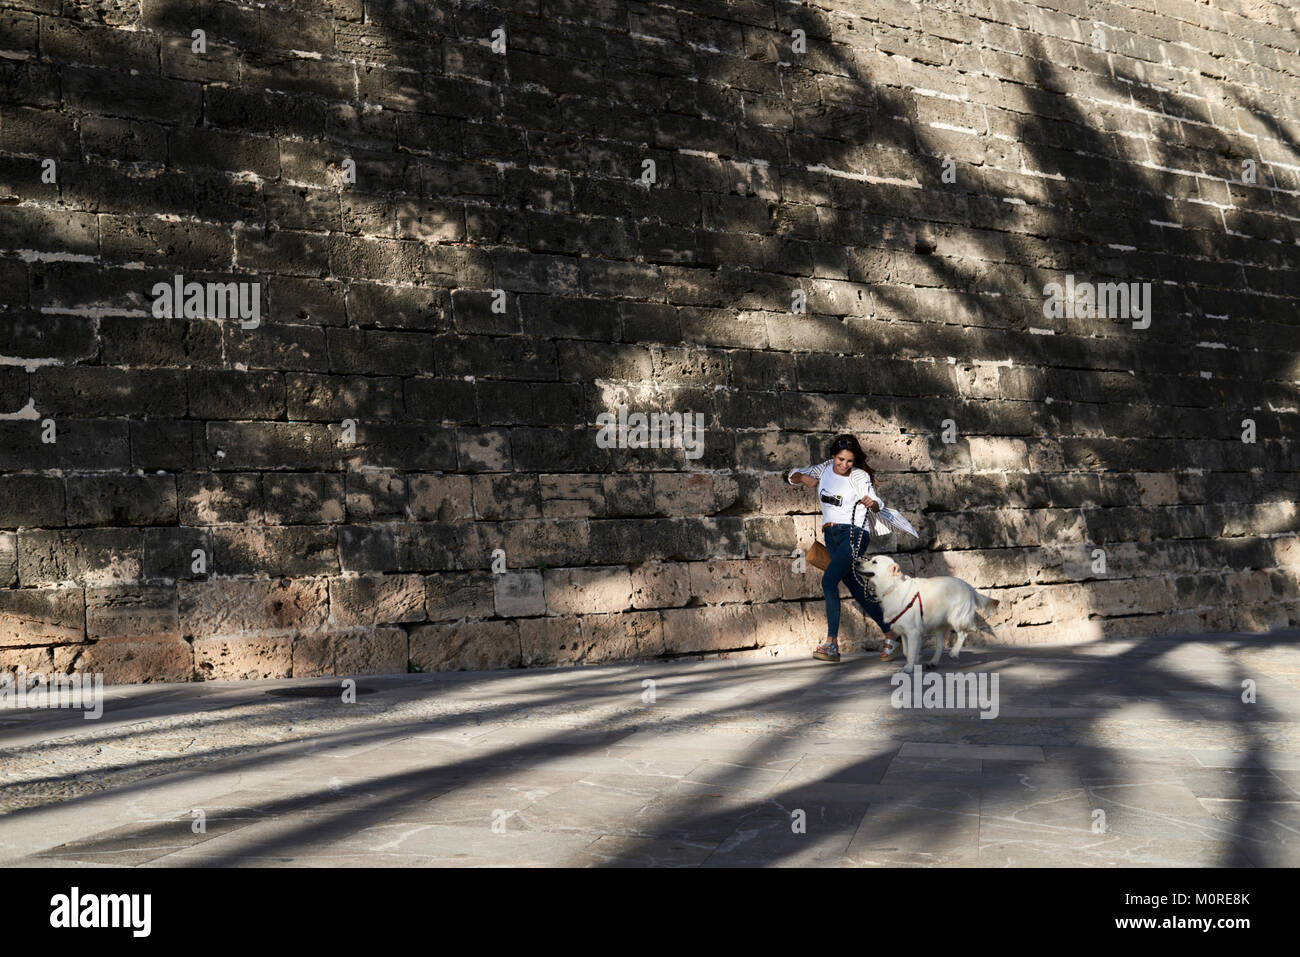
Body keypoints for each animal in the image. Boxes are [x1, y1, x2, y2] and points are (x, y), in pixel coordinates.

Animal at [857, 553, 998, 670]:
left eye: (874, 562)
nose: (857, 562)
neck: (892, 586)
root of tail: (969, 587)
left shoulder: (913, 631)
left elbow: (911, 651)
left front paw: (909, 668)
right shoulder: (904, 631)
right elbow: (907, 651)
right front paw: (915, 662)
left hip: (956, 618)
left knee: (966, 631)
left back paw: (954, 652)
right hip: (940, 625)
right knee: (941, 645)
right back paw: (933, 662)